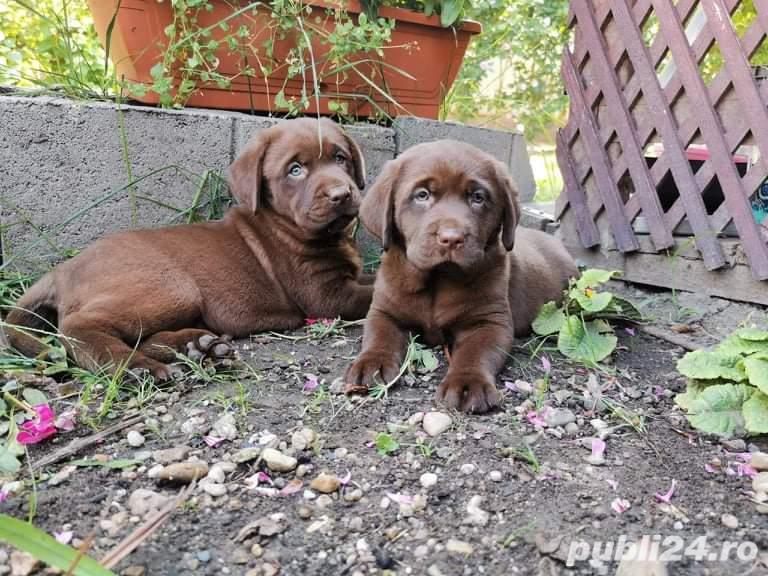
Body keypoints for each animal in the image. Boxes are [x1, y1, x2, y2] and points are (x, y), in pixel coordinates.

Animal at [7, 118, 374, 378]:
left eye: (340, 158)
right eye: (295, 170)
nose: (342, 194)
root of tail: (61, 270)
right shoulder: (324, 294)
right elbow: (370, 295)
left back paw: (199, 346)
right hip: (171, 287)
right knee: (77, 327)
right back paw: (135, 368)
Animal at [344, 143, 576, 414]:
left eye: (477, 197)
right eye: (422, 195)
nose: (452, 238)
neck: (438, 279)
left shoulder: (489, 322)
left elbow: (475, 353)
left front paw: (467, 383)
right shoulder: (384, 311)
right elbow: (379, 336)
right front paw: (371, 364)